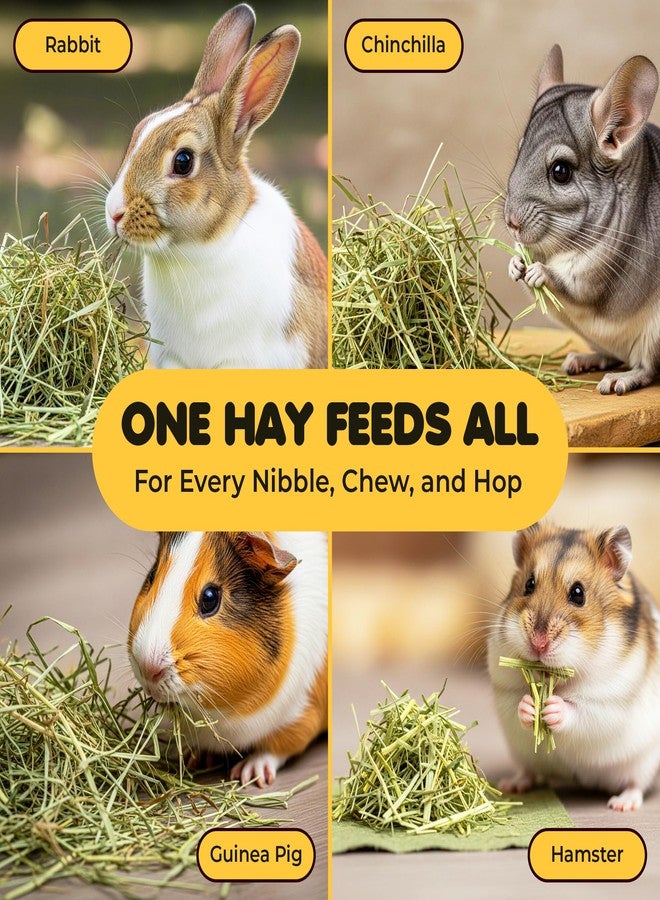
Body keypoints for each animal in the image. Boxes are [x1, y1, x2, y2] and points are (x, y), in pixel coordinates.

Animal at [505, 45, 660, 394]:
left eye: (560, 171)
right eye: (519, 153)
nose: (511, 223)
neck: (559, 247)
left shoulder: (598, 271)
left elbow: (575, 288)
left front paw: (539, 272)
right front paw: (515, 264)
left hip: (654, 337)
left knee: (646, 369)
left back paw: (618, 380)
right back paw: (582, 360)